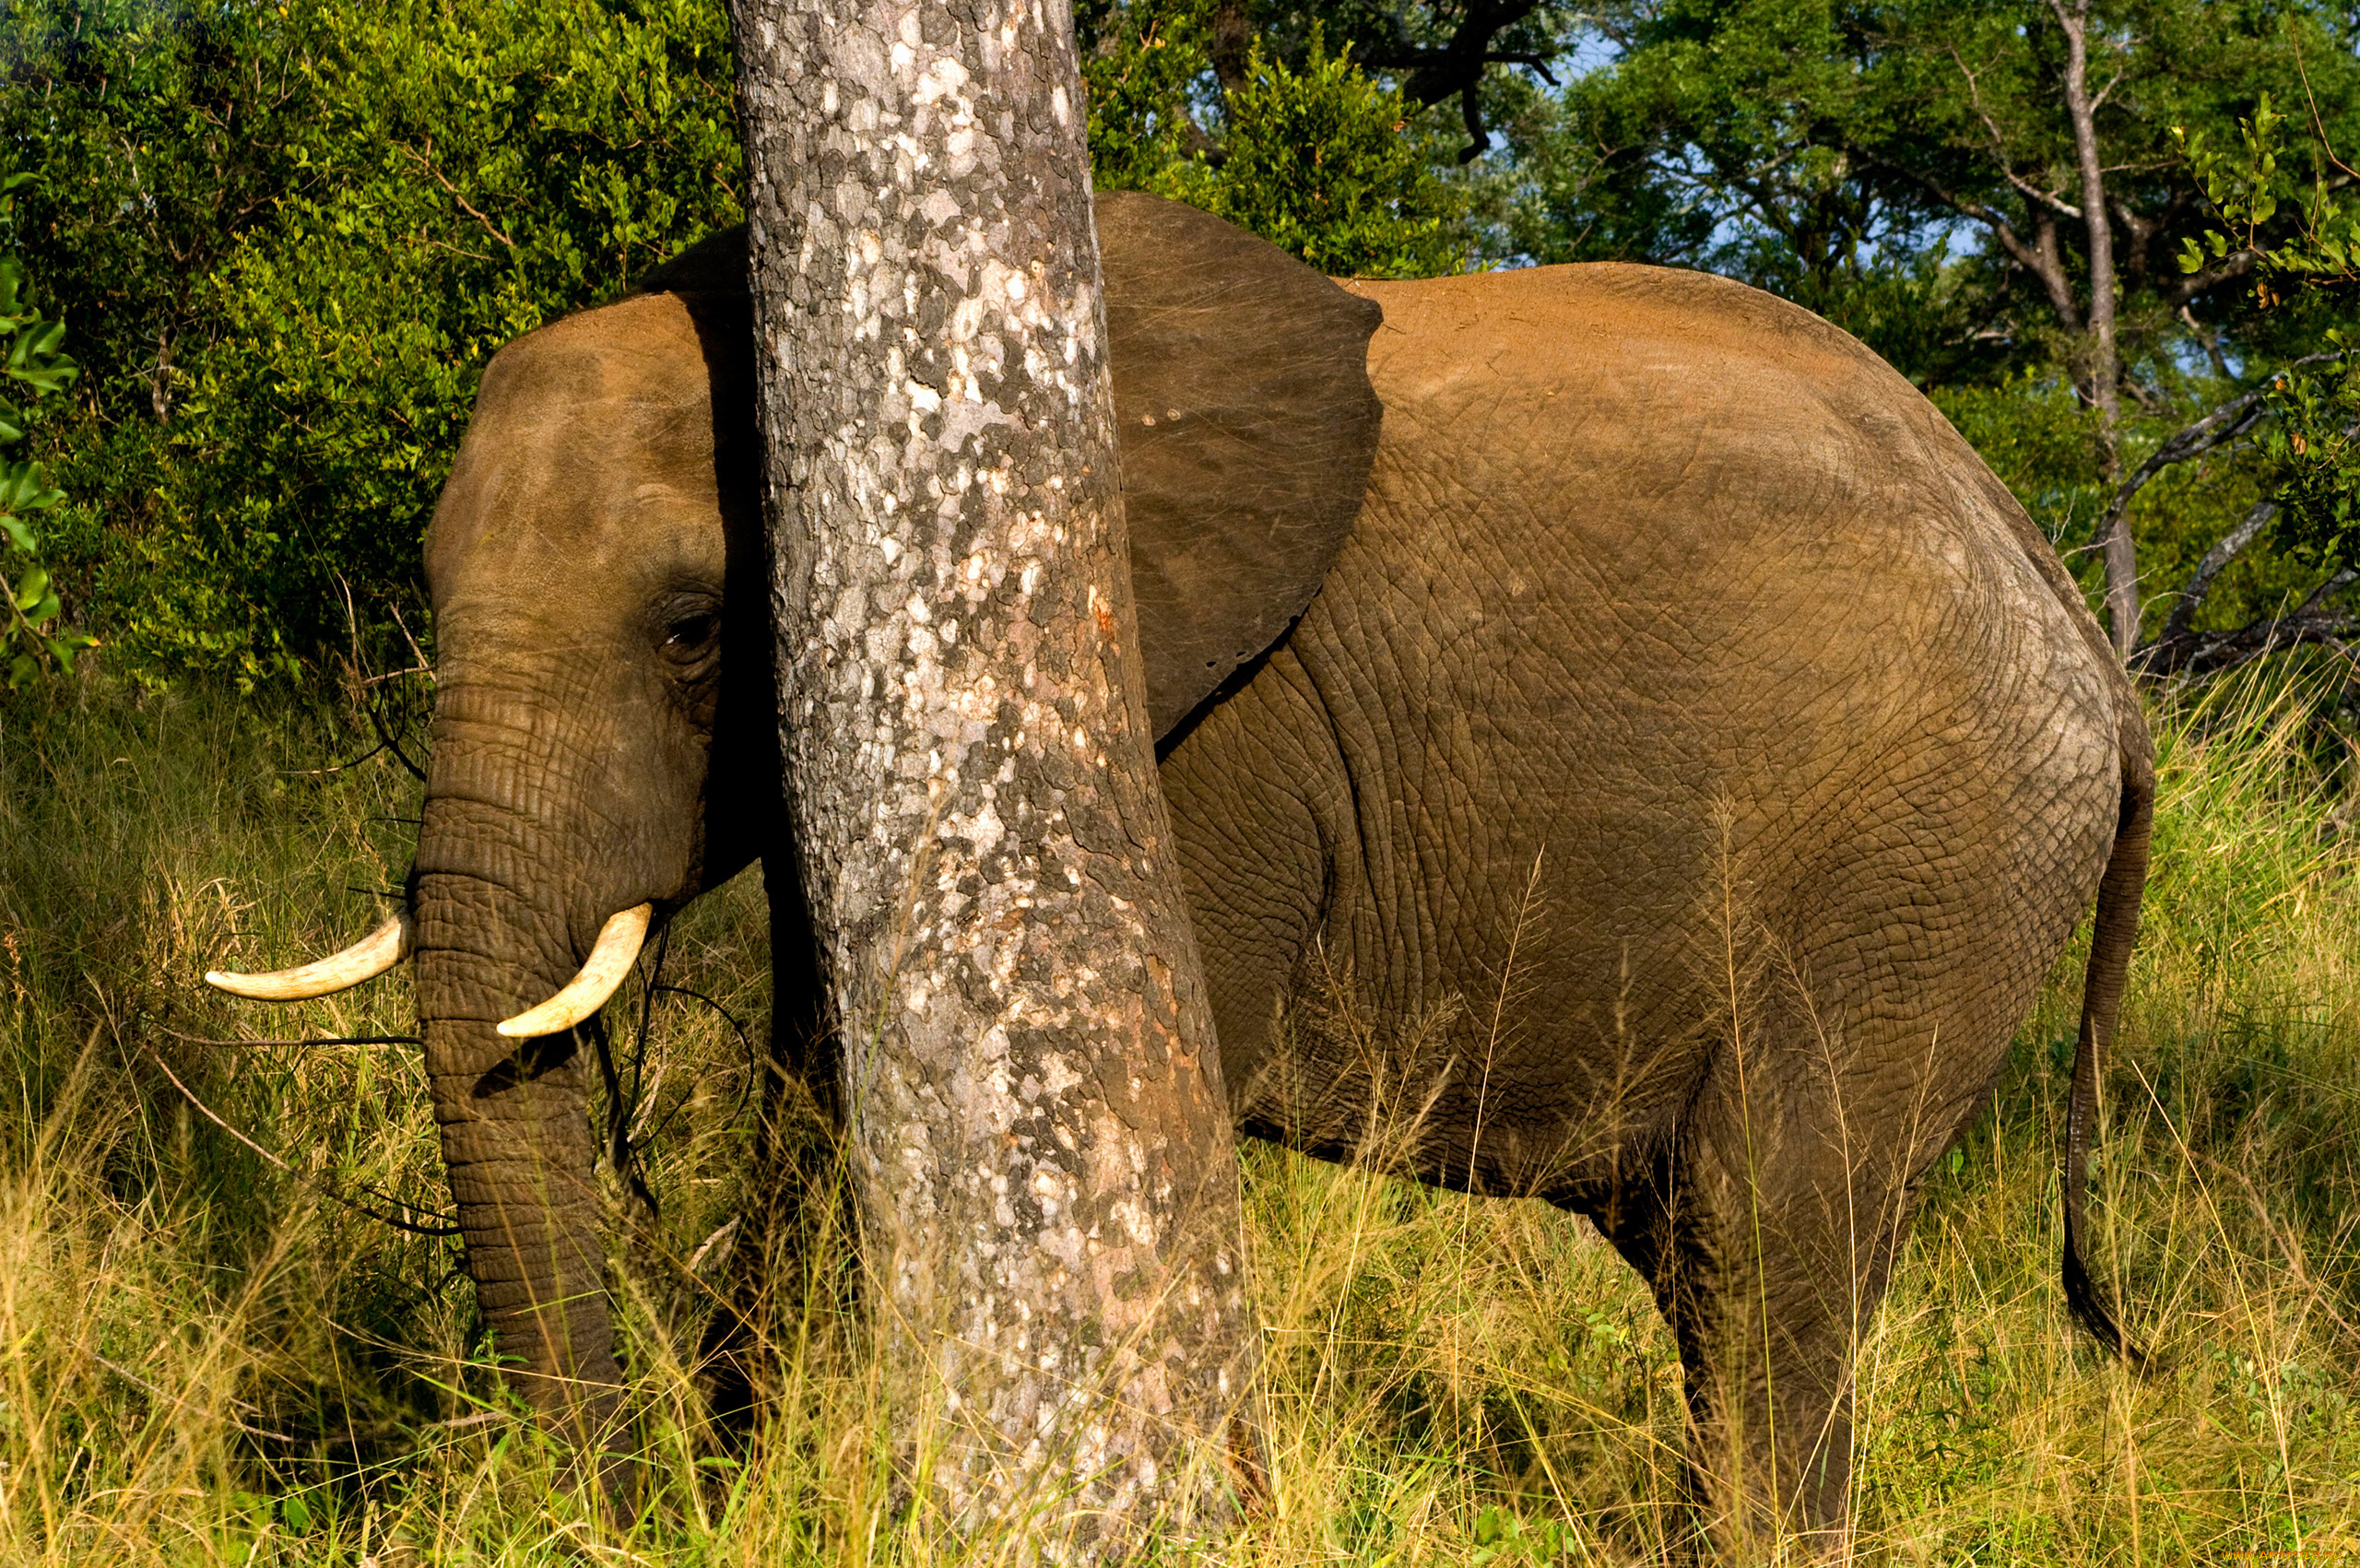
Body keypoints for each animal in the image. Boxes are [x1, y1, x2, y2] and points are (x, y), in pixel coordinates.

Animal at [212, 195, 2152, 1558]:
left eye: (693, 629)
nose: (623, 1514)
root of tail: (2083, 628)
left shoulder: (1180, 728)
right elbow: (816, 1088)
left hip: (1924, 861)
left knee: (1766, 1227)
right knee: (1714, 1248)